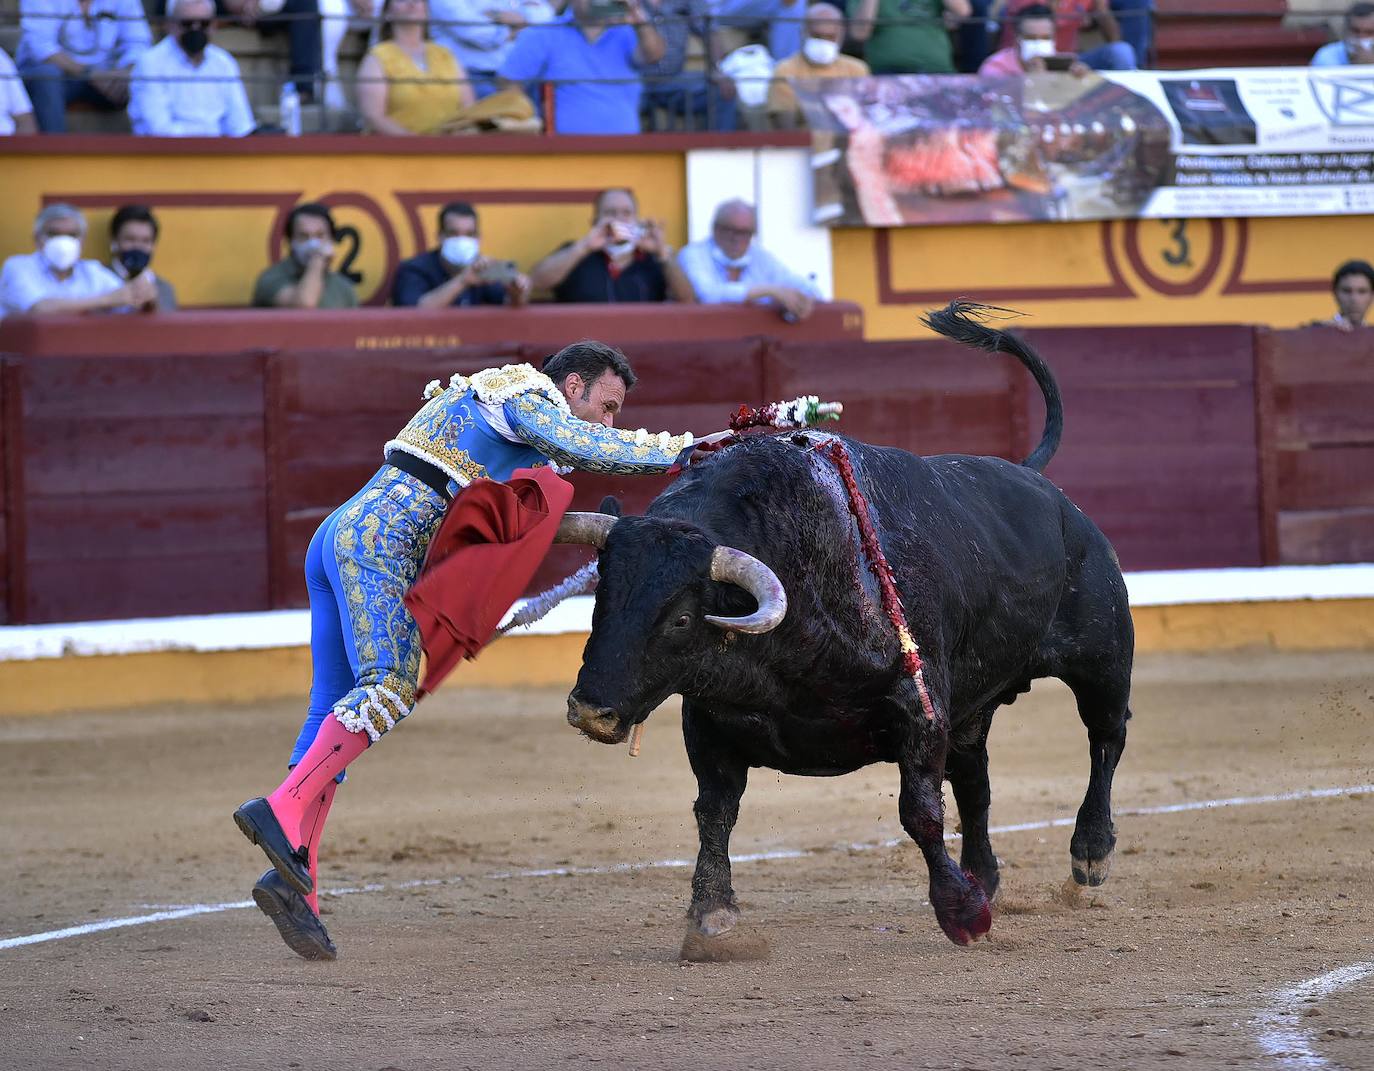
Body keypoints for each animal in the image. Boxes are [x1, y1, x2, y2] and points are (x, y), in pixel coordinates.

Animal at [552, 303, 1132, 945]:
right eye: (601, 597)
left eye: (681, 618)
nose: (590, 710)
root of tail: (1039, 483)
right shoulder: (708, 719)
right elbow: (715, 811)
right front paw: (711, 915)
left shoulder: (919, 705)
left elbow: (920, 811)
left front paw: (961, 913)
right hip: (974, 705)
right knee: (976, 783)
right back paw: (986, 876)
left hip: (1102, 656)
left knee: (1105, 736)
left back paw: (1089, 854)